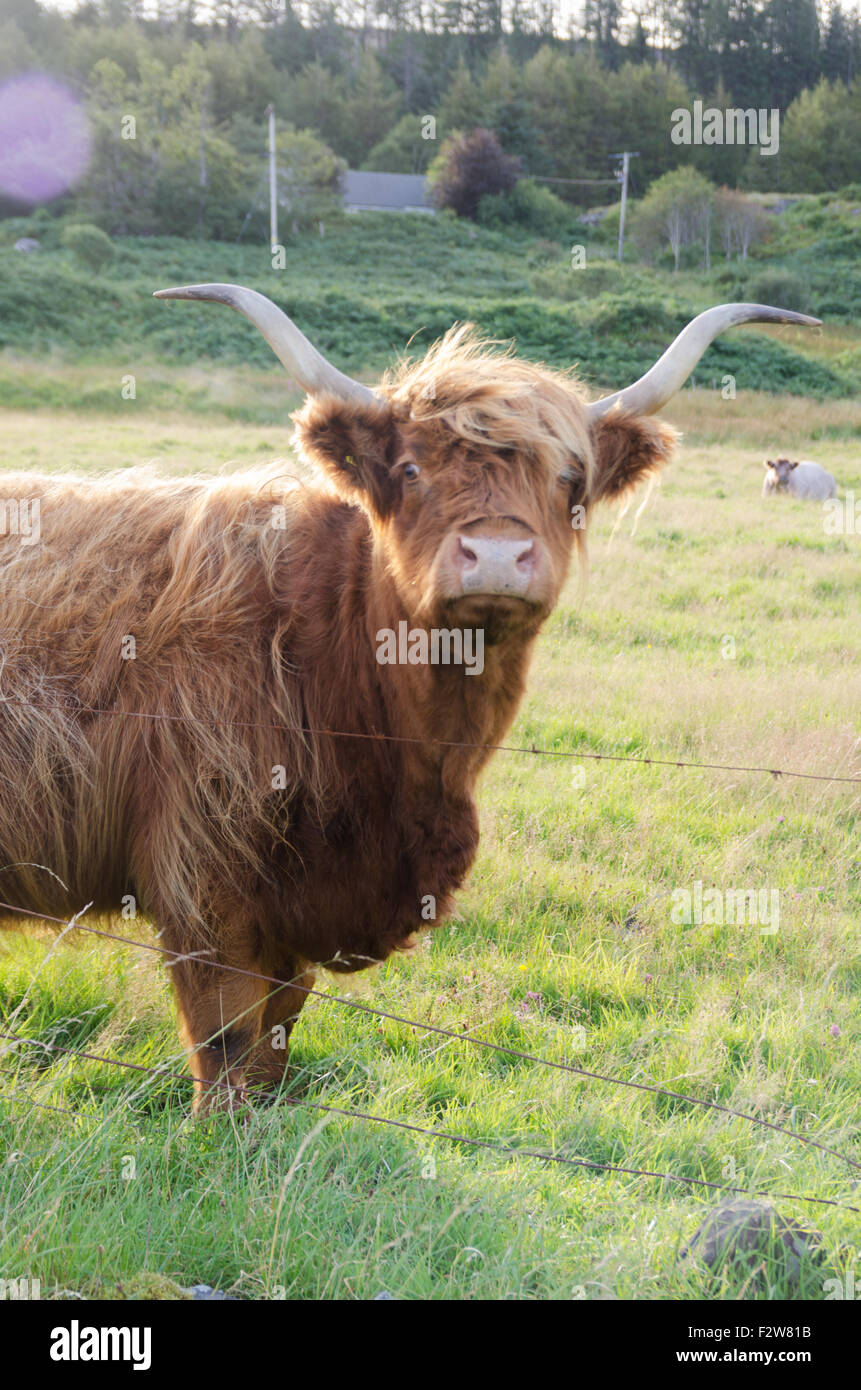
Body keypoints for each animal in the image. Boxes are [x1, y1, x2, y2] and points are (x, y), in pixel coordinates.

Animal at [0, 291, 819, 1111]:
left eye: (569, 479)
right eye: (410, 467)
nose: (496, 556)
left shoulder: (298, 906)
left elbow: (274, 1040)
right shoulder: (205, 871)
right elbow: (226, 1042)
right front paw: (215, 1131)